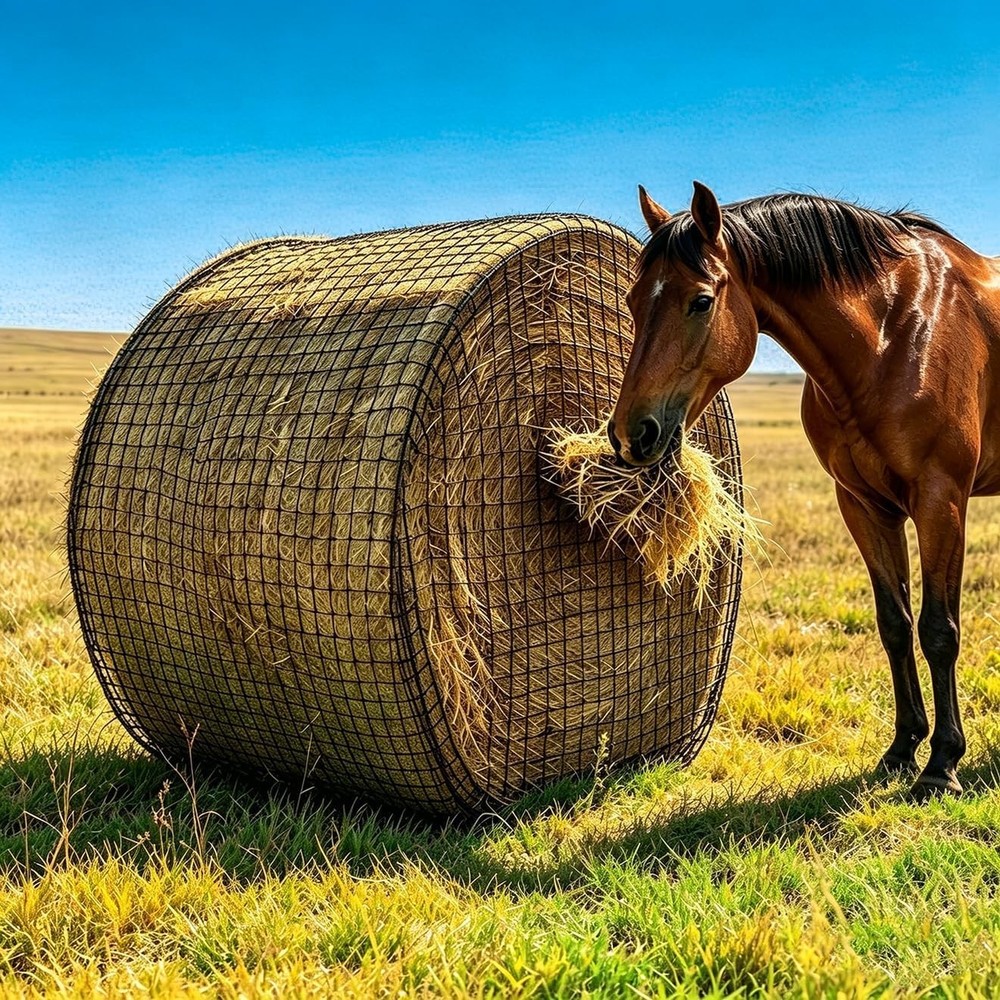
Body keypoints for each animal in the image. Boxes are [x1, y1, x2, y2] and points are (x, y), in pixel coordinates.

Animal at [609, 181, 1000, 798]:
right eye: (632, 300)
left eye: (701, 301)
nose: (630, 435)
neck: (893, 337)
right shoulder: (864, 506)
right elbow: (895, 625)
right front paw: (902, 750)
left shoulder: (942, 502)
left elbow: (939, 630)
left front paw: (942, 765)